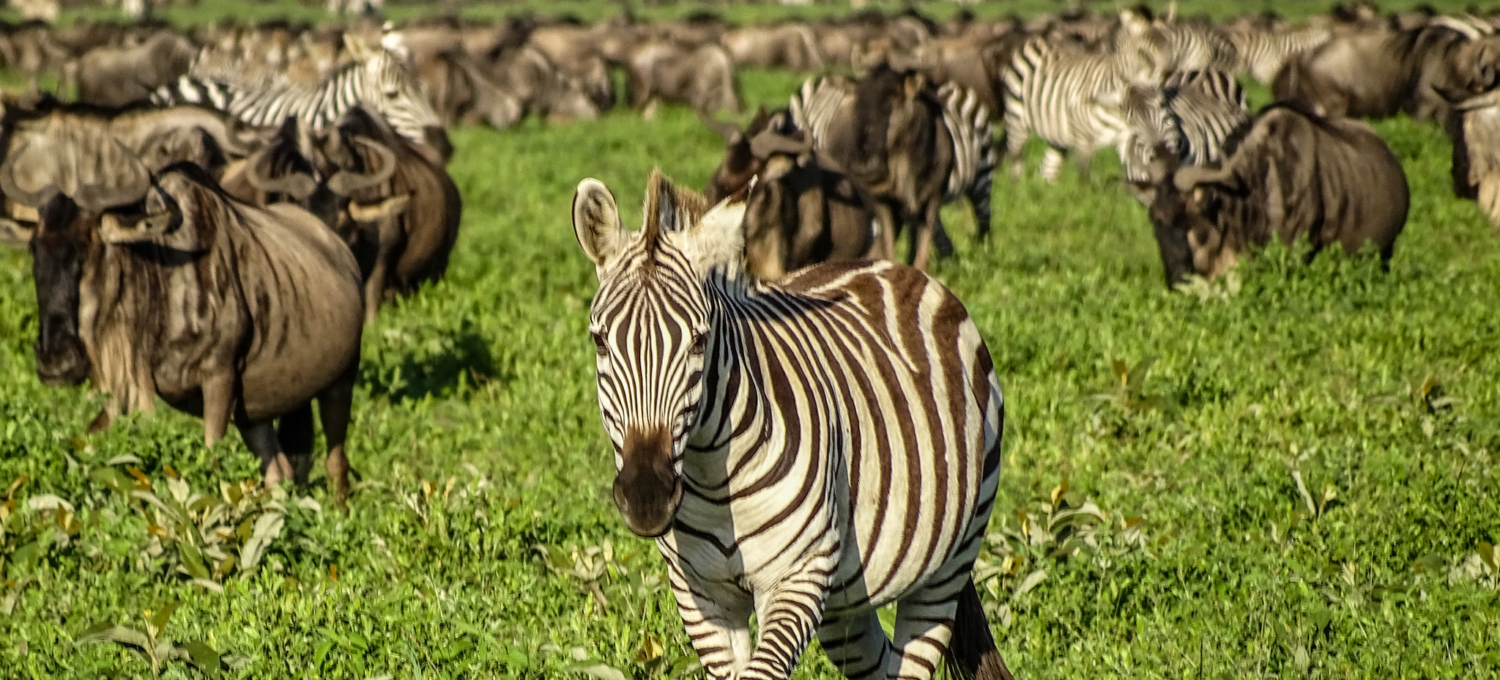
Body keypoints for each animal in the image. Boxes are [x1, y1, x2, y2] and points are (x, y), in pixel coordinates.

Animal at [570, 169, 1008, 678]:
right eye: (599, 341)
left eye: (699, 340)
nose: (646, 499)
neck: (711, 480)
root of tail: (891, 267)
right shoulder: (700, 594)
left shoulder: (798, 574)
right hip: (846, 600)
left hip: (949, 562)